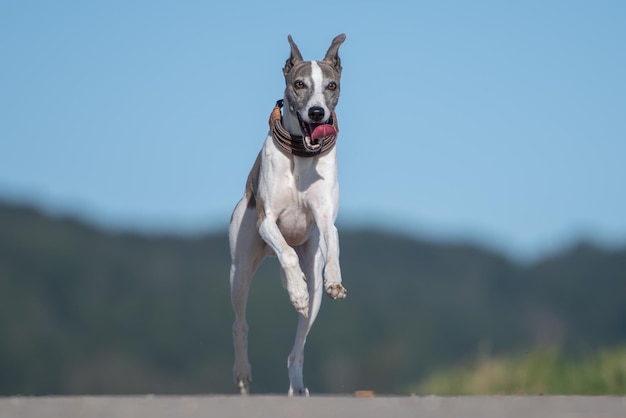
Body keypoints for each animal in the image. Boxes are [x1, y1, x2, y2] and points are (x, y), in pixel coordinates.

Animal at [228, 34, 346, 396]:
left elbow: (334, 240)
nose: (317, 112)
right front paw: (296, 291)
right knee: (240, 324)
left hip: (313, 277)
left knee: (298, 348)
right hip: (240, 269)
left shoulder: (325, 216)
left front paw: (335, 280)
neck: (301, 156)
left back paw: (297, 387)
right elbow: (288, 255)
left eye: (331, 86)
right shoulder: (267, 222)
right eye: (299, 84)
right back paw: (242, 373)